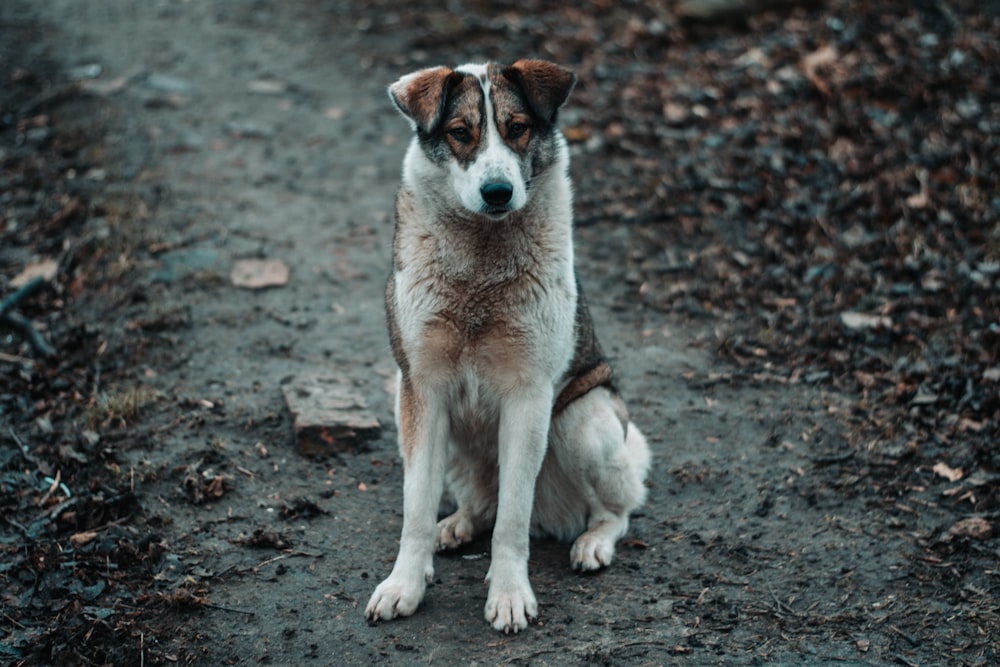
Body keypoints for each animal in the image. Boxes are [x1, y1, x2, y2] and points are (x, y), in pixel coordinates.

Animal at [364, 60, 652, 636]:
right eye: (460, 133)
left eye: (517, 128)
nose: (497, 192)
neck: (481, 260)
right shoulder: (421, 390)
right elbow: (416, 508)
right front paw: (404, 585)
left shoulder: (529, 397)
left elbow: (513, 521)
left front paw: (510, 595)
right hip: (408, 405)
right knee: (481, 504)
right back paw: (454, 526)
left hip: (583, 420)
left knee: (615, 508)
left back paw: (593, 543)